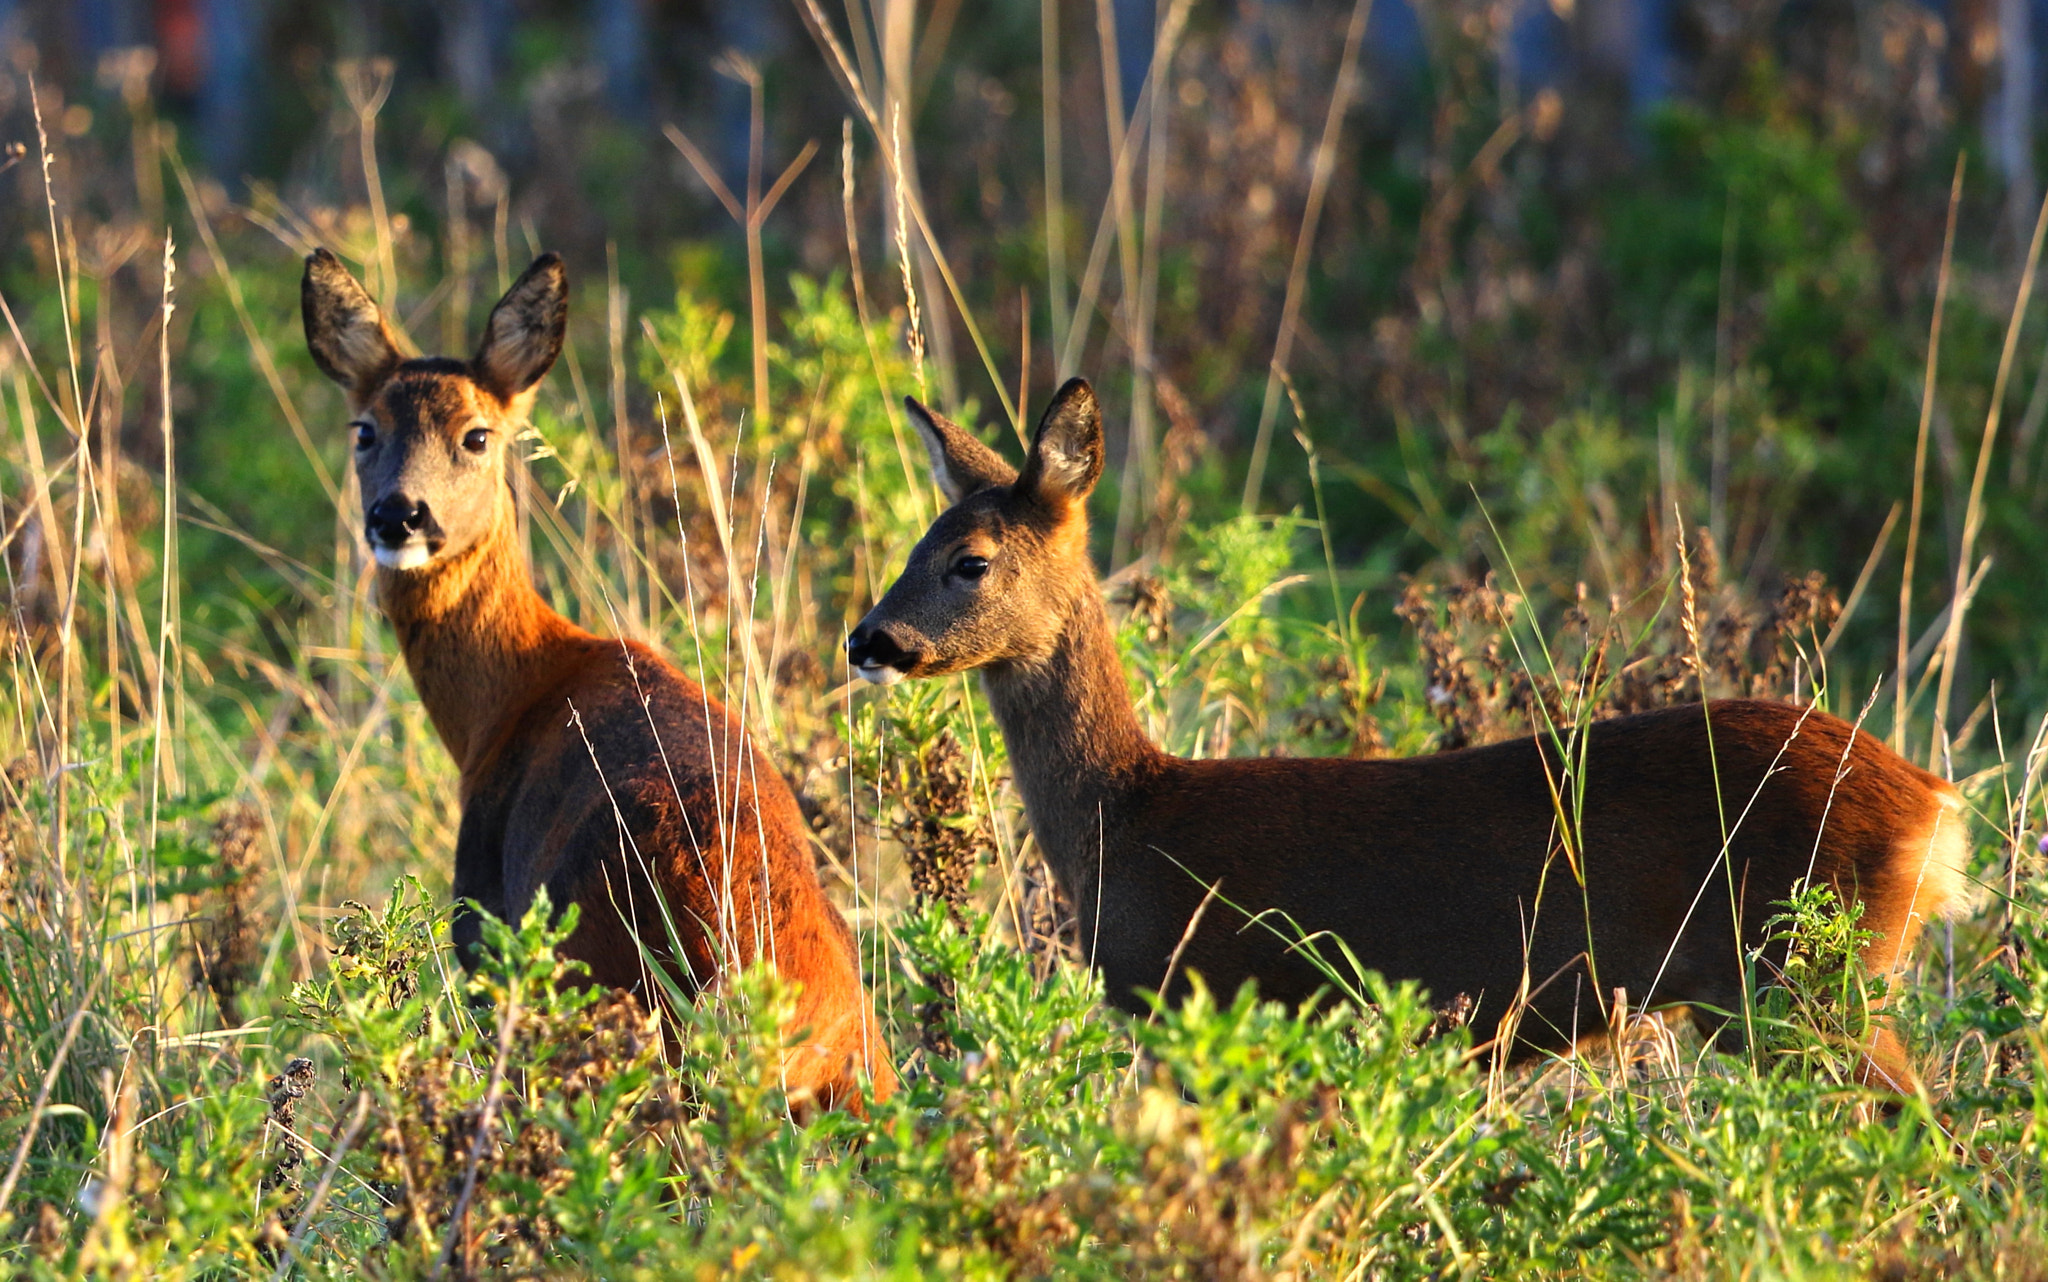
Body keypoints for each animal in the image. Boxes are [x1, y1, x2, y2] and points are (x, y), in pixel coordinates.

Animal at [302, 249, 895, 1113]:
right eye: (364, 430)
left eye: (477, 435)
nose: (399, 515)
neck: (513, 696)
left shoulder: (482, 917)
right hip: (869, 1068)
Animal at [847, 377, 1970, 1093]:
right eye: (913, 546)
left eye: (970, 561)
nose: (868, 639)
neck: (1125, 815)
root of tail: (1937, 802)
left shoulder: (1214, 996)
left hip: (1803, 974)